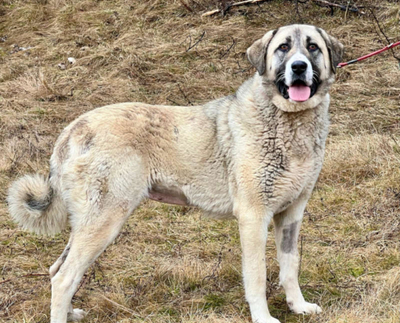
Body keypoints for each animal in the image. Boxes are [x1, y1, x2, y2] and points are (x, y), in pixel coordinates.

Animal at [7, 25, 342, 323]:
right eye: (283, 48)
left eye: (312, 47)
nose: (298, 67)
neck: (289, 121)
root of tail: (71, 130)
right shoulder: (253, 216)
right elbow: (257, 275)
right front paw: (263, 317)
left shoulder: (291, 215)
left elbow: (290, 265)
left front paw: (298, 306)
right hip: (104, 220)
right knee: (63, 277)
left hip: (89, 222)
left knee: (56, 270)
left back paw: (70, 313)